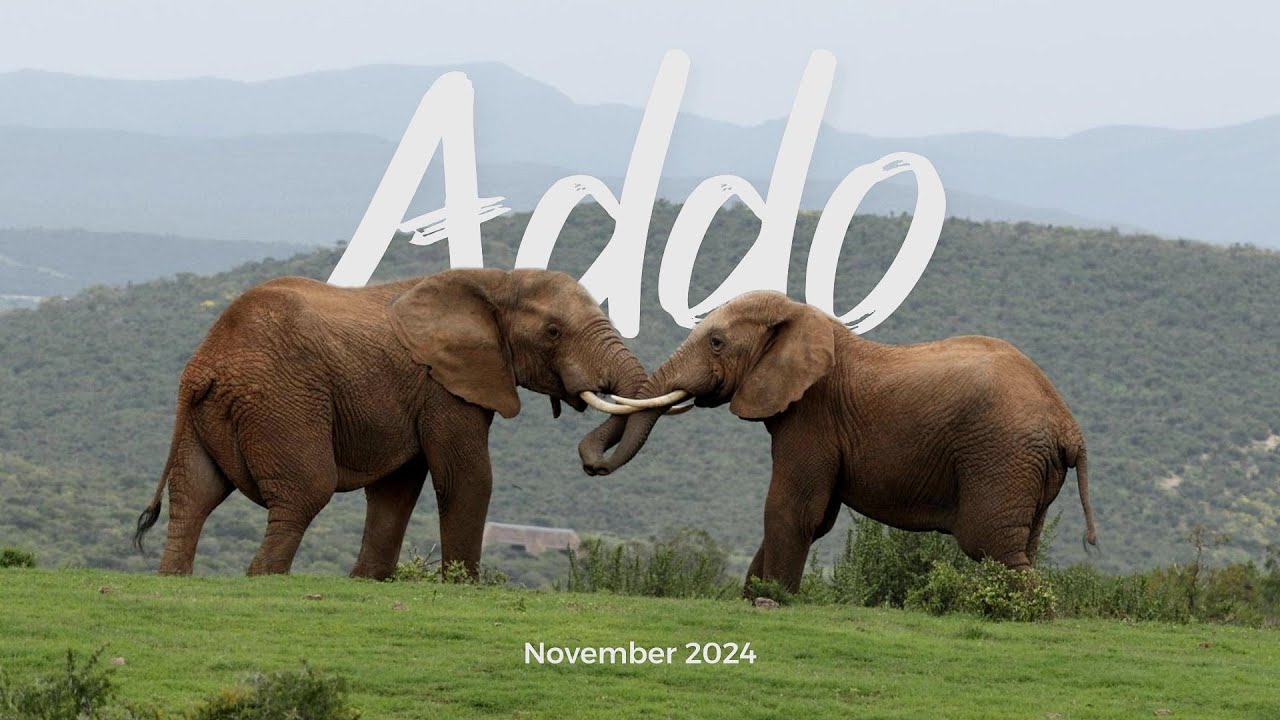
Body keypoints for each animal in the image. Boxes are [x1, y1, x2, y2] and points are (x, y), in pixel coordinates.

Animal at [134, 268, 646, 579]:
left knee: (194, 496)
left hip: (202, 414)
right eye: (553, 333)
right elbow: (467, 478)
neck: (495, 280)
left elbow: (397, 489)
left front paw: (367, 583)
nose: (591, 465)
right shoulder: (444, 386)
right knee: (303, 493)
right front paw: (464, 587)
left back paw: (173, 578)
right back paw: (262, 580)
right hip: (282, 400)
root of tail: (207, 363)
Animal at [581, 290, 1097, 593]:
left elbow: (792, 509)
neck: (801, 317)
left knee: (992, 546)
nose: (590, 465)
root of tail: (1069, 426)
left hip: (1002, 456)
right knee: (1020, 545)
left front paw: (773, 600)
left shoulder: (812, 414)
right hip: (1026, 466)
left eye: (716, 343)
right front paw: (756, 596)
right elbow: (816, 517)